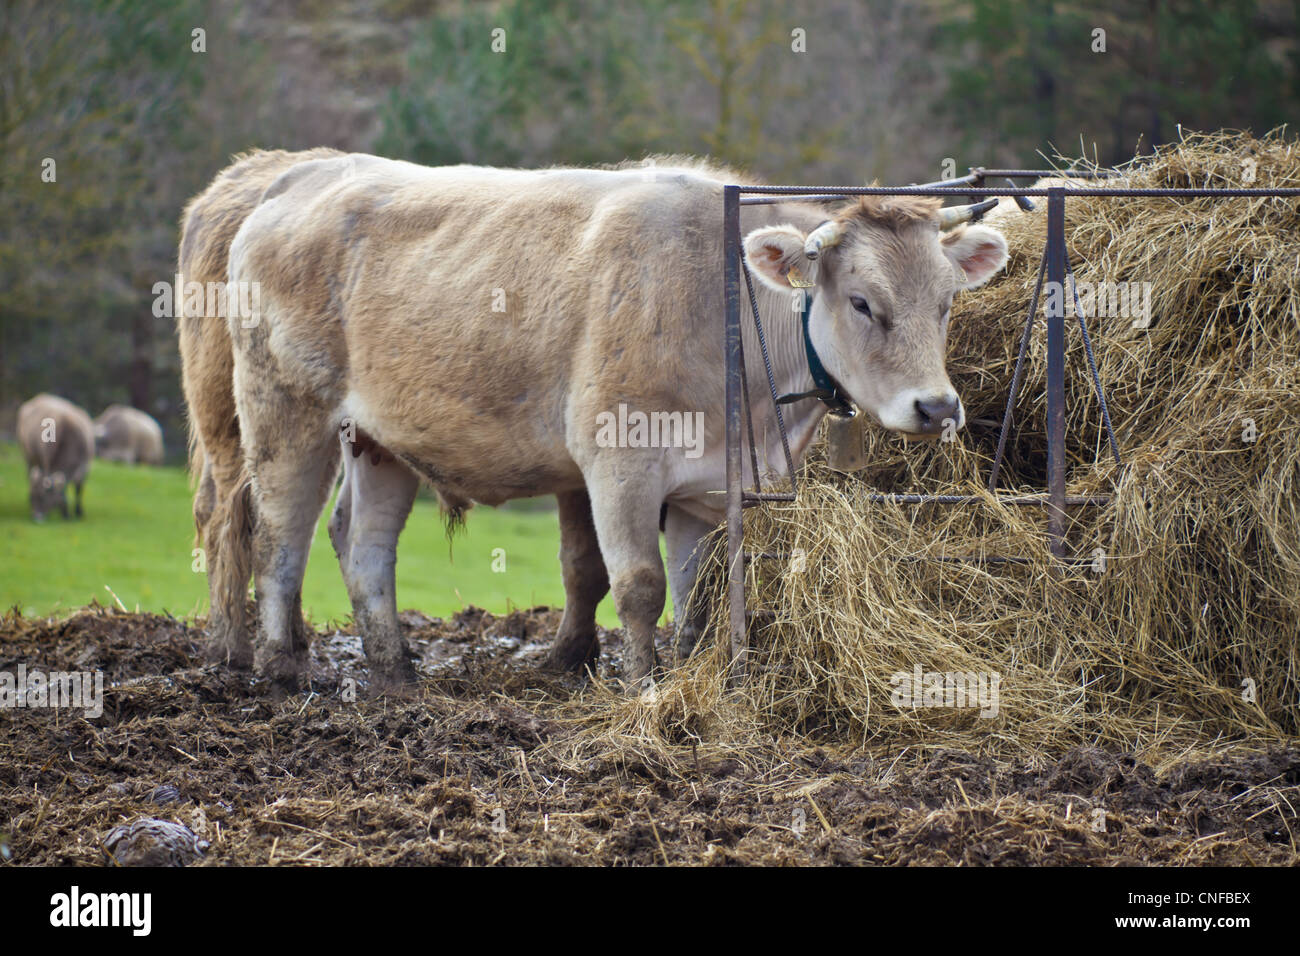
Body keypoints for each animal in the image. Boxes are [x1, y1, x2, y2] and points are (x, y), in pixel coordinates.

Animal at [16, 390, 94, 520]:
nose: (36, 517)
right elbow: (63, 490)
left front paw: (78, 512)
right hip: (29, 457)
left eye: (42, 497)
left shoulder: (84, 467)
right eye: (31, 497)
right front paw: (64, 511)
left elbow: (78, 489)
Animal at [202, 153, 1008, 691]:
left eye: (946, 302)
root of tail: (302, 176)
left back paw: (395, 668)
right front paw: (642, 685)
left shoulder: (704, 486)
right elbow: (640, 585)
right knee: (278, 533)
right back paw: (279, 666)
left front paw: (687, 670)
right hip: (285, 411)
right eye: (864, 302)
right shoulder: (620, 465)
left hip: (381, 437)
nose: (937, 407)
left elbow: (694, 592)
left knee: (364, 542)